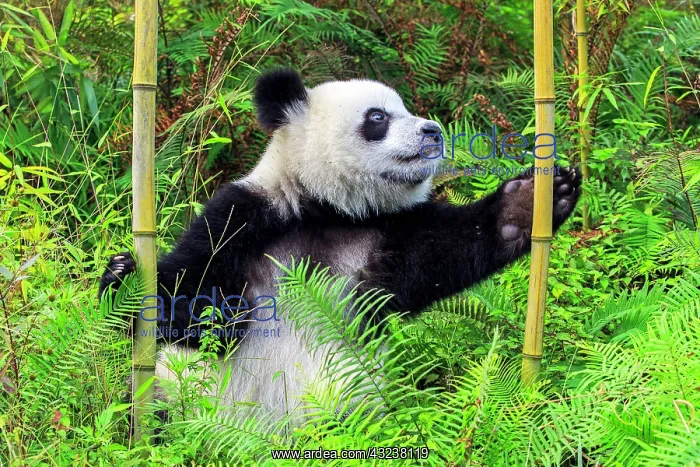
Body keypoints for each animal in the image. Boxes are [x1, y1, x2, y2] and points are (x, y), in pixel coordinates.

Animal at [100, 67, 581, 416]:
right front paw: (122, 279)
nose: (433, 132)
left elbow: (446, 249)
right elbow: (198, 306)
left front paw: (530, 200)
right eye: (378, 117)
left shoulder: (386, 236)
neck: (327, 209)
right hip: (180, 396)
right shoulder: (245, 218)